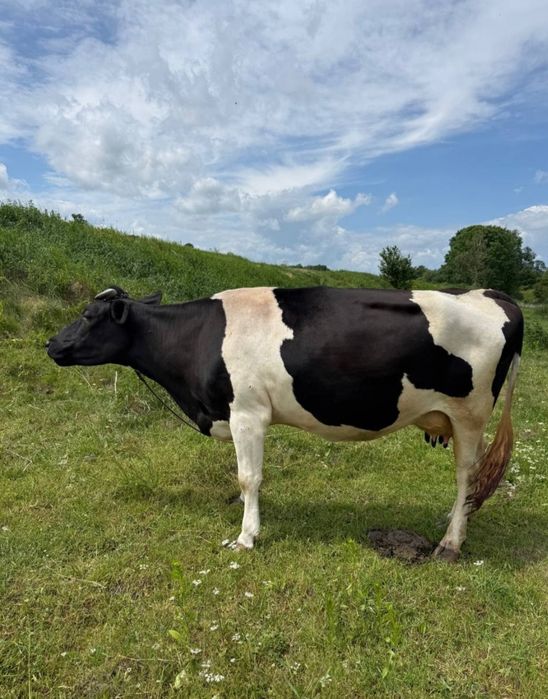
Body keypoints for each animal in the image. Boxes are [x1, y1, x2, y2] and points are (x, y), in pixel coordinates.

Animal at [47, 285, 523, 560]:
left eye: (88, 317)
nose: (51, 343)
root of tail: (488, 294)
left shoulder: (247, 413)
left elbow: (249, 477)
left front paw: (246, 536)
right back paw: (454, 518)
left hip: (470, 414)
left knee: (467, 474)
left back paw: (451, 541)